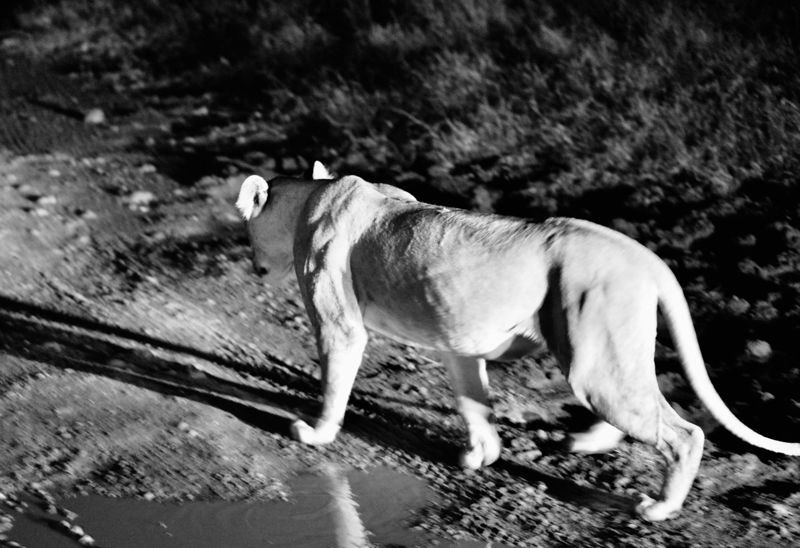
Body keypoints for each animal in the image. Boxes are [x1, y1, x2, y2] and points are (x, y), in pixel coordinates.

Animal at [236, 162, 799, 521]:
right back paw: (585, 442)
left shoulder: (340, 325)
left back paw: (659, 507)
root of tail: (641, 253)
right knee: (642, 406)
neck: (311, 198)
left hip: (591, 361)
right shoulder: (457, 343)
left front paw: (314, 433)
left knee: (684, 434)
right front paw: (480, 456)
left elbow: (334, 383)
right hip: (604, 351)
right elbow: (474, 402)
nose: (253, 265)